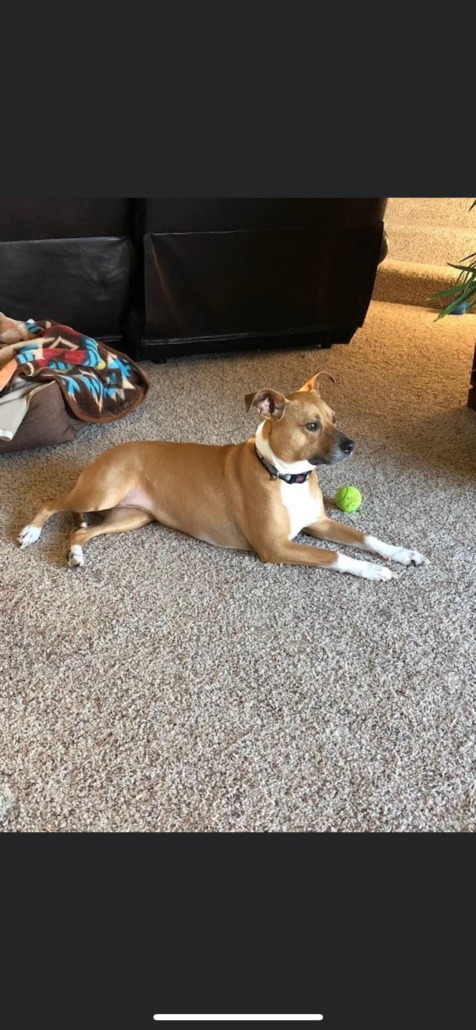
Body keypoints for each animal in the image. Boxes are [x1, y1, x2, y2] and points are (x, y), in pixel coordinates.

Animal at [17, 371, 428, 580]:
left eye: (334, 418)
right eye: (312, 426)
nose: (352, 445)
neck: (284, 476)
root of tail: (108, 452)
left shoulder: (319, 522)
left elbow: (367, 538)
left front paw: (402, 553)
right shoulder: (276, 546)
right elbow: (336, 556)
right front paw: (374, 570)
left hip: (133, 517)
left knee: (79, 531)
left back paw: (75, 552)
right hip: (100, 494)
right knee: (51, 502)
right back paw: (31, 532)